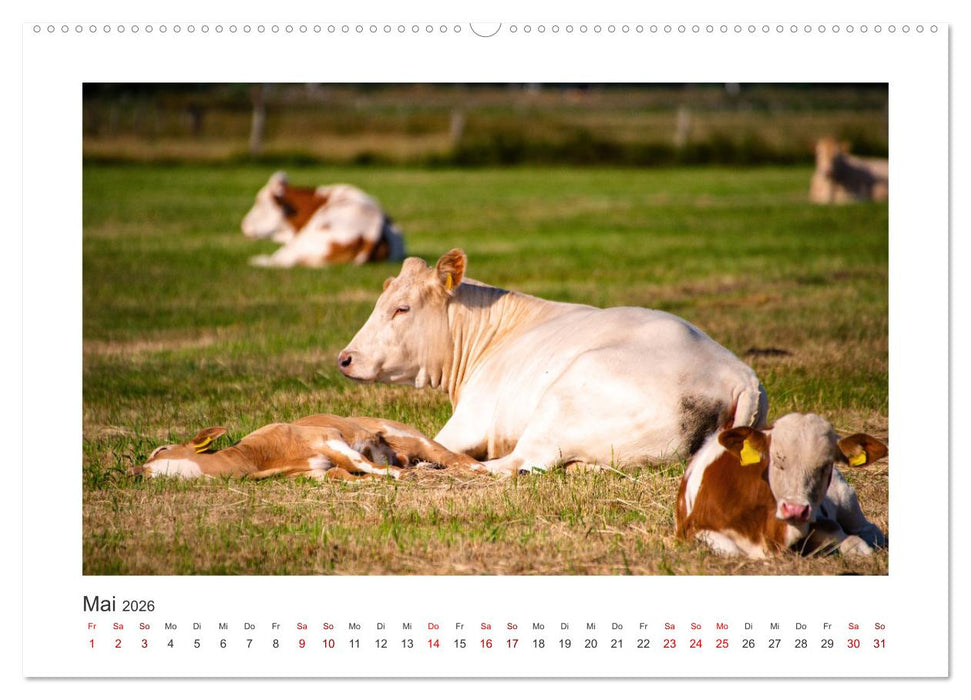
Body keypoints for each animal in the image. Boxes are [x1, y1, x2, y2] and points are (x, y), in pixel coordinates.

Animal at [337, 249, 768, 475]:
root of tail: (737, 374)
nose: (345, 358)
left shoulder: (469, 420)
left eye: (402, 308)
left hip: (564, 397)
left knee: (513, 464)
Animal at [675, 413, 887, 559]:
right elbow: (732, 550)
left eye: (825, 466)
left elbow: (854, 543)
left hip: (846, 499)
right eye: (776, 460)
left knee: (868, 528)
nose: (795, 509)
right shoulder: (693, 528)